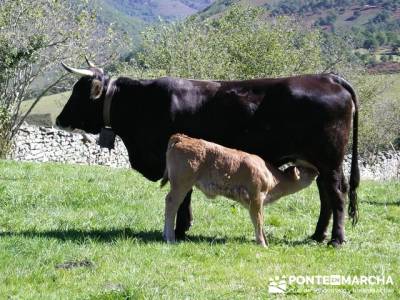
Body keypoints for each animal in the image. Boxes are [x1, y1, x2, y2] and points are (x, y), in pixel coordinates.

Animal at [160, 134, 318, 246]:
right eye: (305, 170)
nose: (317, 171)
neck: (271, 176)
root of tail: (182, 138)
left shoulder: (254, 202)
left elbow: (260, 220)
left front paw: (265, 241)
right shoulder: (256, 197)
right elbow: (258, 220)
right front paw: (262, 244)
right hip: (181, 185)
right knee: (172, 204)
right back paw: (170, 238)